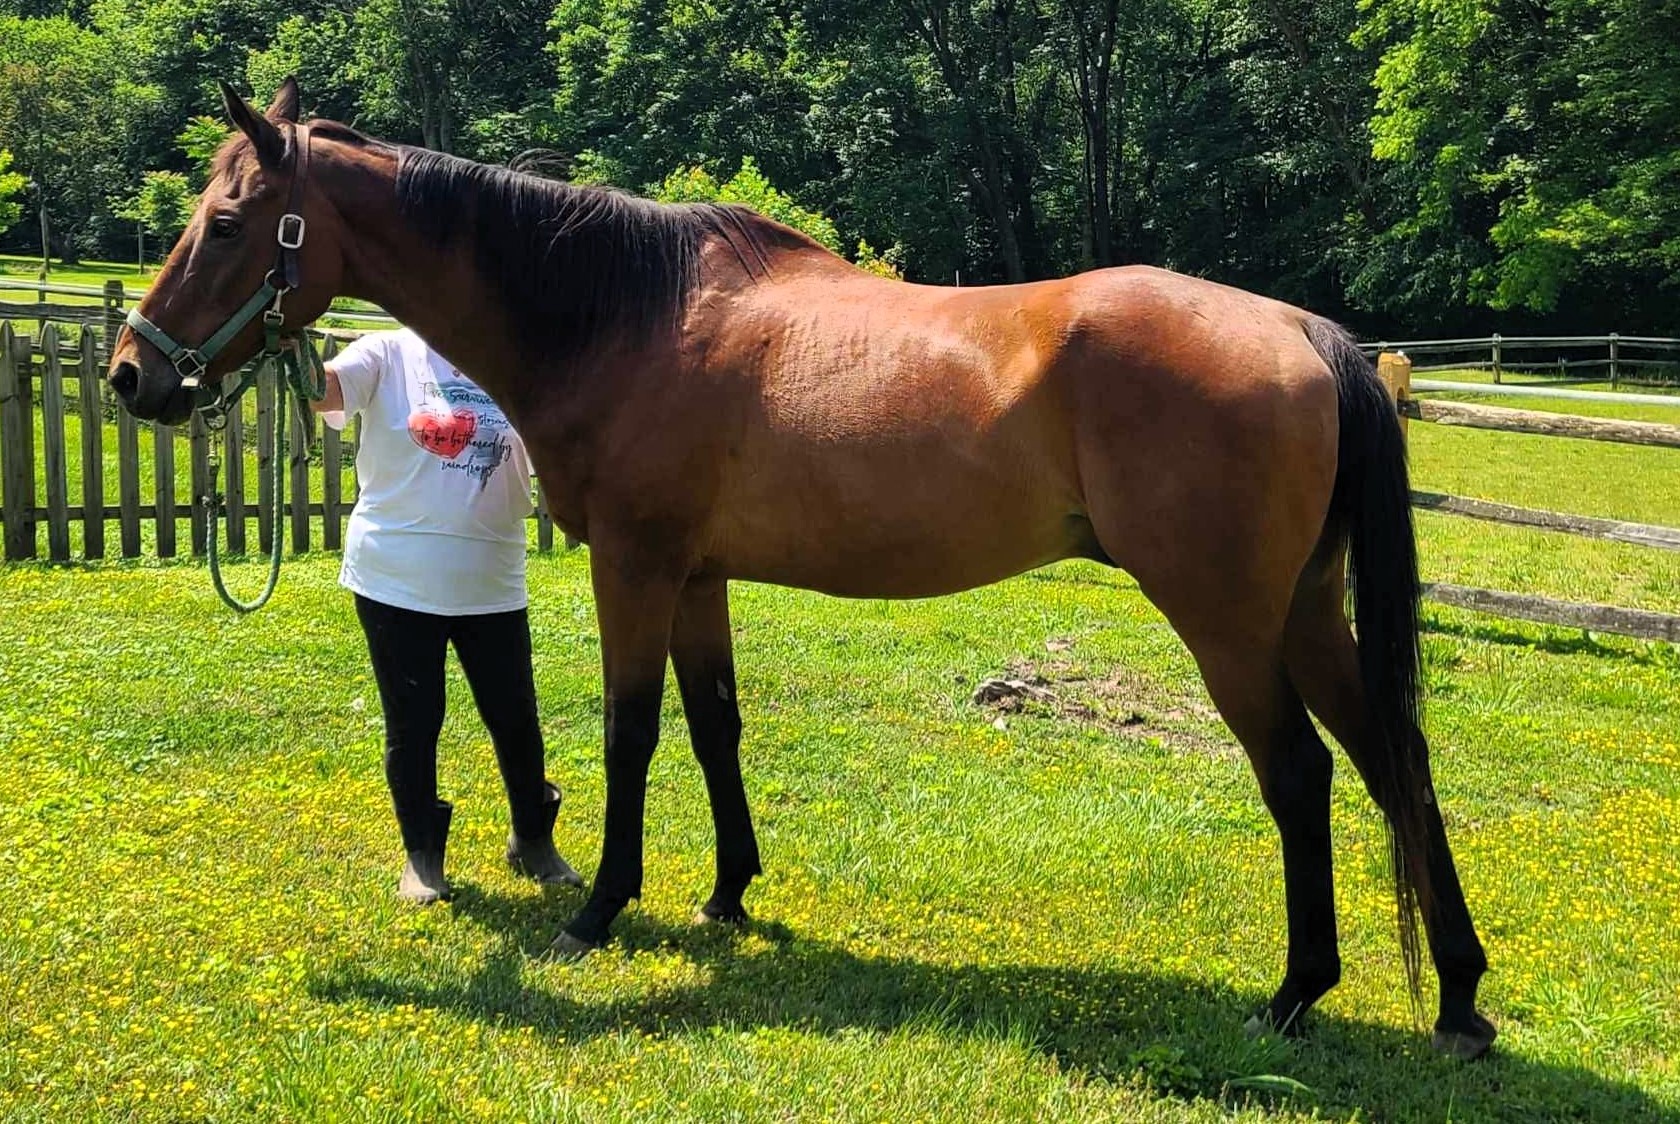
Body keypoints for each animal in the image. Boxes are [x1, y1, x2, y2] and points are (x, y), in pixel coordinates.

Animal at [107, 78, 1495, 1059]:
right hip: (1305, 614)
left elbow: (630, 732)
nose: (133, 374)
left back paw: (1297, 992)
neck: (625, 313)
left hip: (1227, 624)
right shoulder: (700, 577)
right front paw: (729, 893)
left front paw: (600, 906)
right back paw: (1461, 998)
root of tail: (1308, 333)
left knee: (1303, 775)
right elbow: (716, 725)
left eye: (226, 221)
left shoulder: (638, 565)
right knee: (1397, 760)